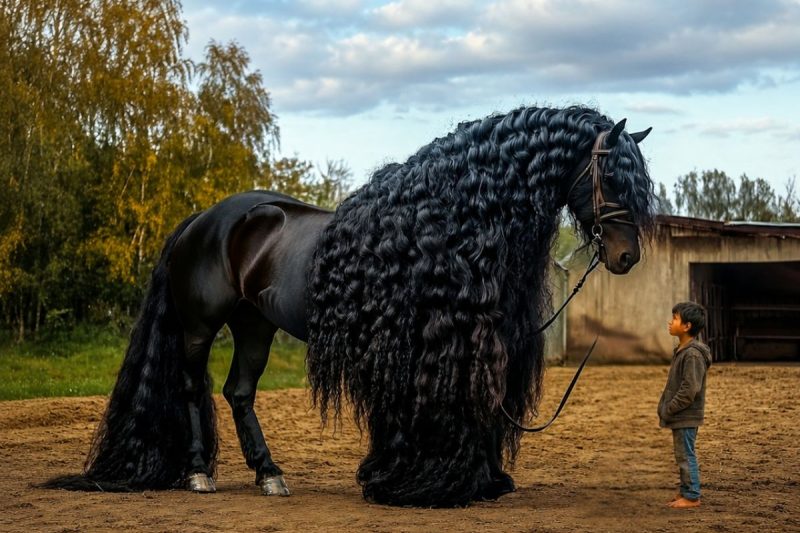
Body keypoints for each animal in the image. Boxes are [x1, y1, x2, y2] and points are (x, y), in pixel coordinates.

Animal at [44, 105, 657, 507]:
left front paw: (484, 483)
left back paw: (269, 475)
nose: (627, 256)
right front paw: (416, 484)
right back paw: (198, 473)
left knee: (239, 393)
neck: (446, 220)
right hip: (200, 326)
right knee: (195, 387)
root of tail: (203, 218)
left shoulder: (480, 345)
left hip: (254, 327)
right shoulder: (428, 348)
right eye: (609, 174)